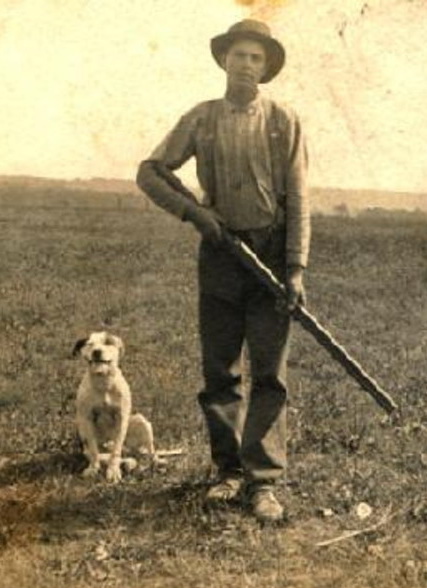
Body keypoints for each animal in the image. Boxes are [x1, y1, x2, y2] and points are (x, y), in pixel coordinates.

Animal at [72, 331, 155, 482]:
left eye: (108, 342)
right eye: (89, 344)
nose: (96, 351)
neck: (104, 382)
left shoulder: (122, 418)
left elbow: (116, 450)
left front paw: (113, 471)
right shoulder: (86, 420)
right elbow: (94, 450)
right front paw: (94, 469)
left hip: (142, 422)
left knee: (149, 452)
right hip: (82, 431)